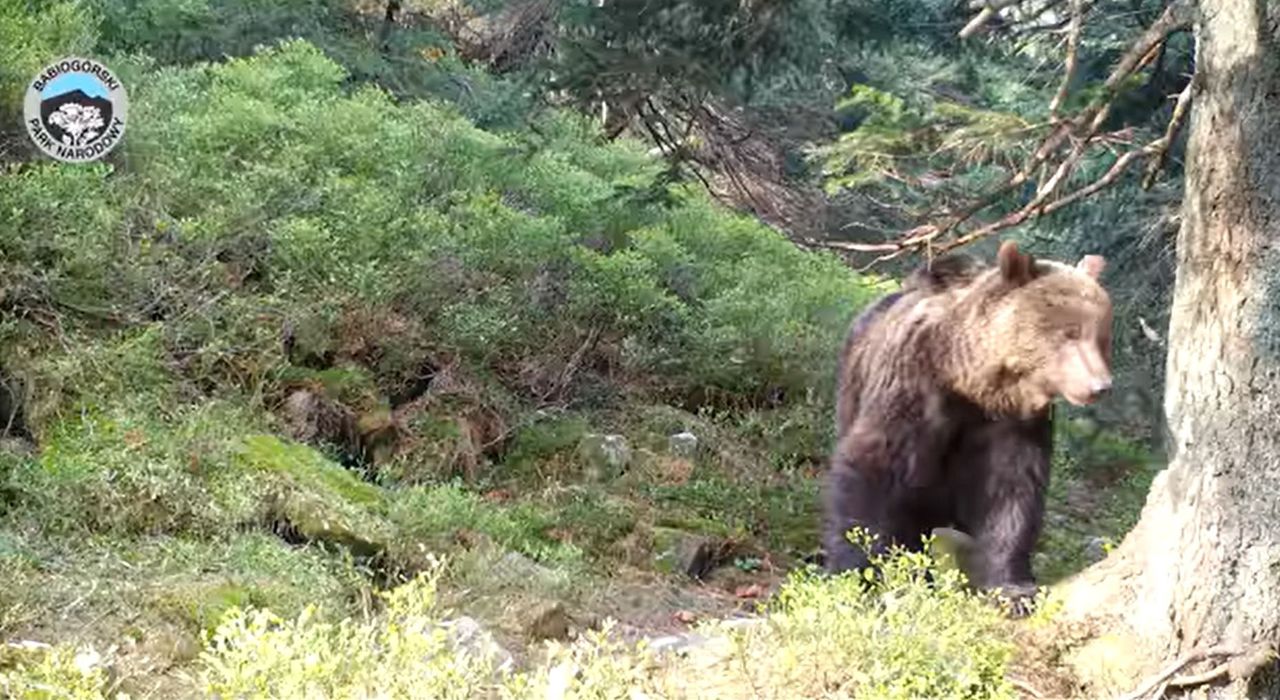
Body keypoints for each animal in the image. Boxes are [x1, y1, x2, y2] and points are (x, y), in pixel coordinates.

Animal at [819, 240, 1111, 614]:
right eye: (1070, 332)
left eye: (1101, 335)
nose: (1099, 385)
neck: (968, 381)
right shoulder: (912, 384)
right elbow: (873, 466)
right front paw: (857, 575)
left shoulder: (1013, 422)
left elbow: (1010, 493)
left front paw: (1014, 589)